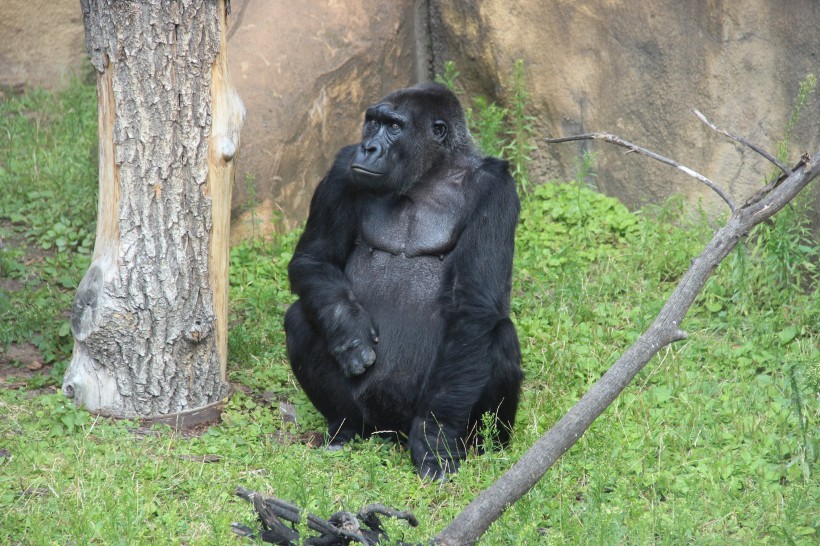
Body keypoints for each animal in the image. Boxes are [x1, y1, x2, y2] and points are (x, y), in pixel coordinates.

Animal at [286, 81, 524, 476]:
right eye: (372, 122)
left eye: (394, 127)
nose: (368, 147)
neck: (429, 175)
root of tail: (391, 431)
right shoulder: (341, 167)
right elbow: (315, 259)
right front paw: (349, 333)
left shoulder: (496, 189)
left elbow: (473, 304)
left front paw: (435, 437)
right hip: (374, 421)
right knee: (300, 317)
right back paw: (345, 427)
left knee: (497, 334)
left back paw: (484, 446)